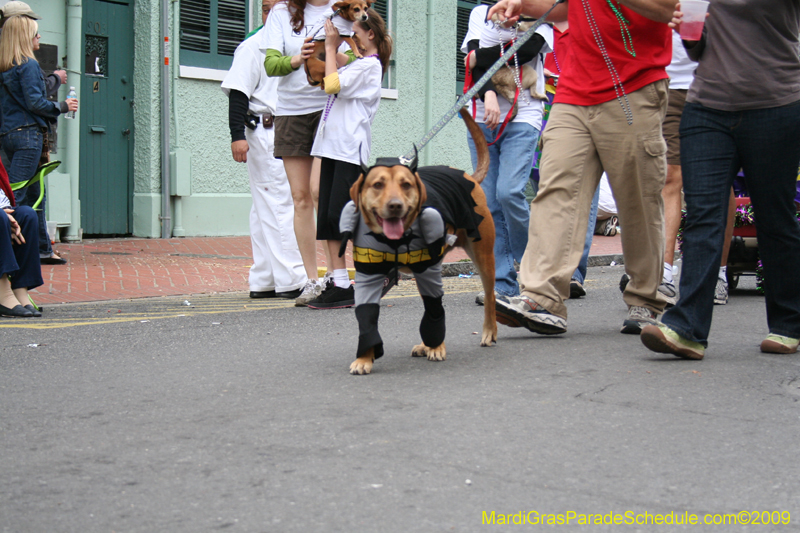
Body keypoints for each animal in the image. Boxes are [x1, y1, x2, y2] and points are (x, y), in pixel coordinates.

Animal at [346, 108, 496, 374]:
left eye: (406, 185)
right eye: (377, 184)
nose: (395, 205)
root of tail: (469, 177)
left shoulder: (430, 271)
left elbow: (436, 311)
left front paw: (436, 347)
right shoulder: (368, 277)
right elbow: (367, 317)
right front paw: (365, 358)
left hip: (482, 257)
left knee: (490, 297)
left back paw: (488, 332)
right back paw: (426, 345)